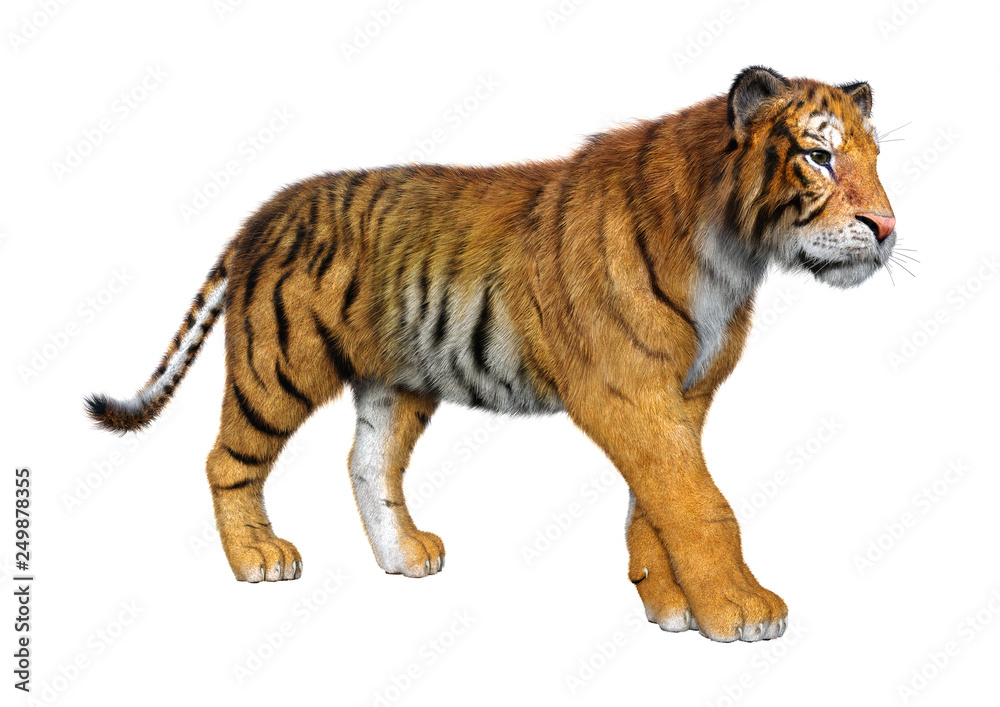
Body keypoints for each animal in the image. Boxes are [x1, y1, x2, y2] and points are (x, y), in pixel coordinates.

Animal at [86, 66, 896, 643]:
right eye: (819, 157)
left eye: (875, 157)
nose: (887, 229)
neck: (734, 255)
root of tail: (260, 215)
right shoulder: (627, 389)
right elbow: (698, 503)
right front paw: (743, 610)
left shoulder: (682, 394)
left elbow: (657, 503)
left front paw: (671, 604)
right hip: (279, 364)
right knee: (227, 459)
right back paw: (258, 559)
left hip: (396, 379)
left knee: (366, 462)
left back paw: (405, 556)